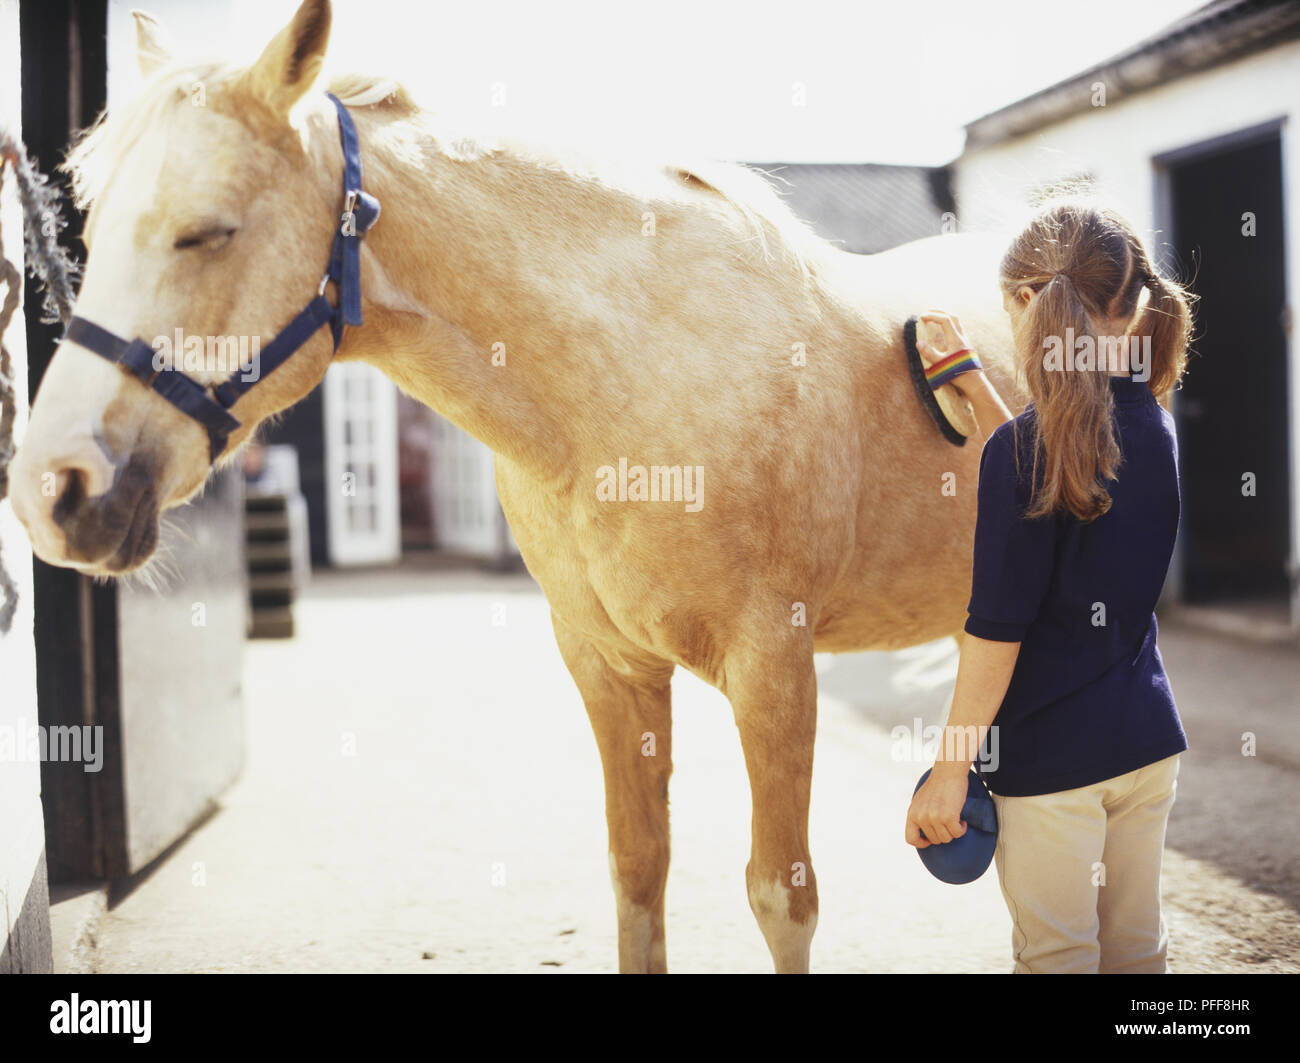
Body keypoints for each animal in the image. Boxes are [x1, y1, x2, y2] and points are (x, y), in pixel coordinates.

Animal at [10, 0, 1024, 966]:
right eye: (89, 229)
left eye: (208, 231)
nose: (51, 489)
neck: (641, 378)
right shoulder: (606, 664)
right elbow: (637, 872)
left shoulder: (774, 665)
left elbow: (782, 898)